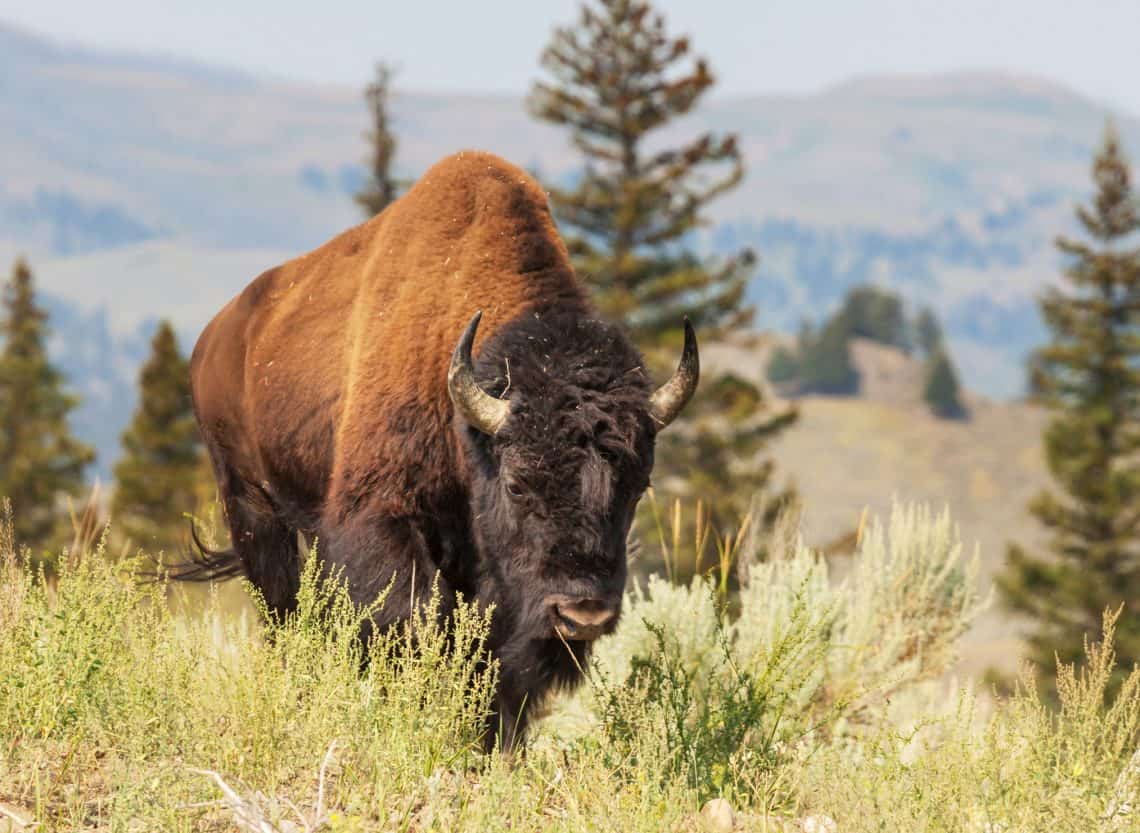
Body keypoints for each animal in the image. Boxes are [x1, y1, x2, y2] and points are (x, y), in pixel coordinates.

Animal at [184, 150, 693, 747]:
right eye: (518, 484)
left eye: (636, 487)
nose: (581, 613)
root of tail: (216, 337)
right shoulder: (382, 518)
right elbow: (415, 620)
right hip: (251, 505)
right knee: (284, 611)